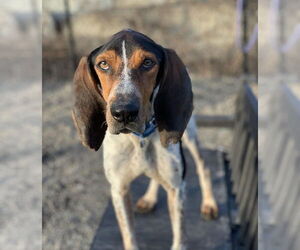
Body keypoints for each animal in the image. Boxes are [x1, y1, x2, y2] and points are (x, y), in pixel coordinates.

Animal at [72, 29, 218, 250]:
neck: (140, 138)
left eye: (148, 63)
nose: (123, 112)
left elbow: (179, 239)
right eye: (103, 64)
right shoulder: (119, 189)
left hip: (190, 137)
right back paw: (149, 198)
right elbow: (129, 236)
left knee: (204, 167)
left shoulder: (176, 189)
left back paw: (209, 203)